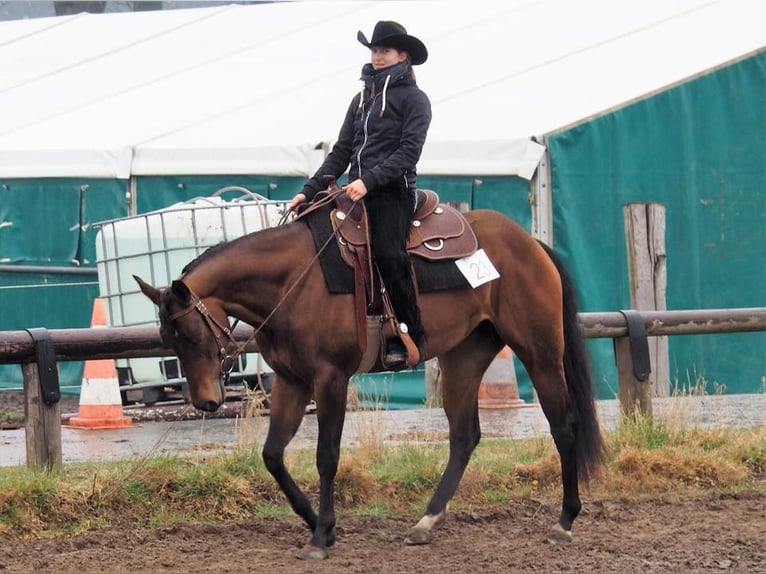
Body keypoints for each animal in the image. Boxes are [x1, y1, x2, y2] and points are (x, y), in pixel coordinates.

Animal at [136, 201, 608, 560]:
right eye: (167, 339)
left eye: (193, 334)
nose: (206, 402)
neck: (293, 281)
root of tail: (530, 243)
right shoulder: (291, 381)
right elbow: (272, 455)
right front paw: (318, 523)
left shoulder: (331, 379)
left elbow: (327, 456)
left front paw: (320, 535)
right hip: (464, 357)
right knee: (464, 437)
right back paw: (426, 522)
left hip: (540, 351)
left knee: (563, 426)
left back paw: (564, 521)